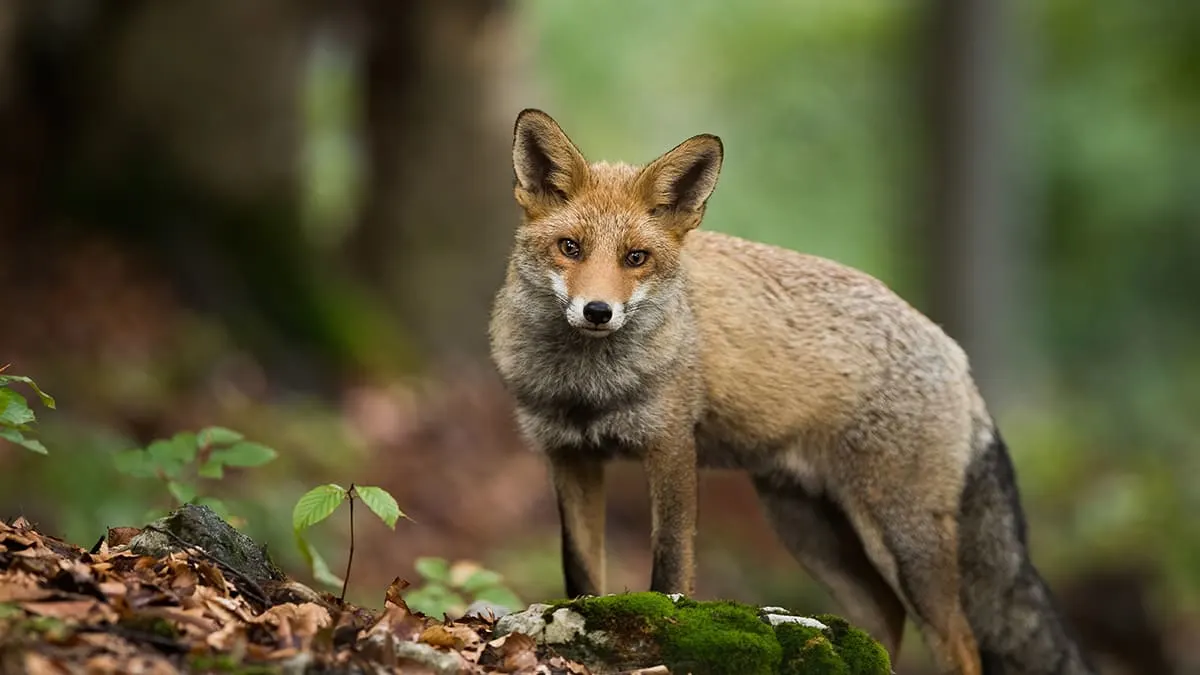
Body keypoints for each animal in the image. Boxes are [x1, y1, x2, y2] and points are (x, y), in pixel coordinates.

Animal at [487, 109, 1099, 672]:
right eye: (570, 247)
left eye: (635, 258)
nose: (597, 311)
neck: (588, 388)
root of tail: (955, 354)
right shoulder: (569, 456)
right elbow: (580, 576)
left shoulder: (671, 450)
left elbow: (670, 571)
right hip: (809, 528)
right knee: (884, 619)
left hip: (901, 540)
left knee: (962, 643)